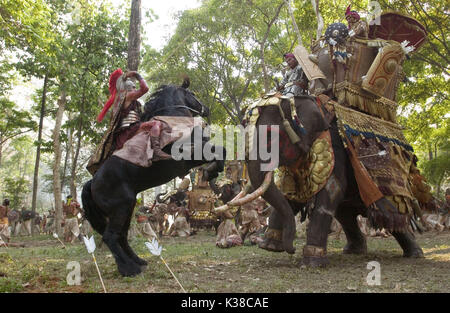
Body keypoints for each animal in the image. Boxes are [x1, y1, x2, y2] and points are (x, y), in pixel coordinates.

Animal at [81, 80, 225, 276]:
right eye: (193, 94)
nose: (206, 109)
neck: (174, 121)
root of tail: (92, 183)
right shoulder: (190, 155)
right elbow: (220, 151)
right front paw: (212, 171)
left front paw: (212, 172)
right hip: (121, 208)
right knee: (110, 236)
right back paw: (129, 268)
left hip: (127, 208)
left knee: (121, 236)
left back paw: (138, 261)